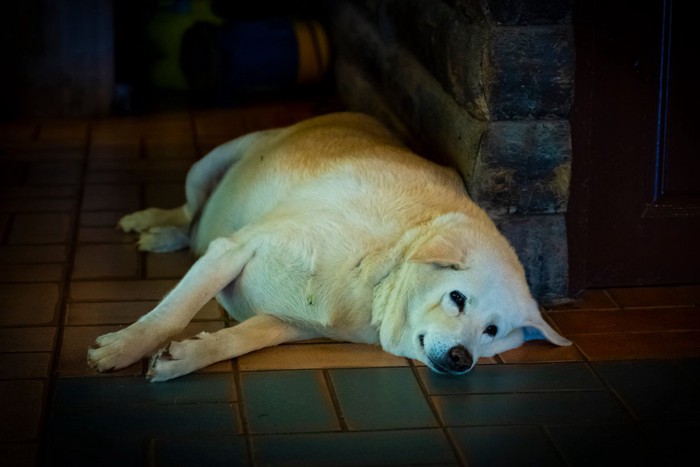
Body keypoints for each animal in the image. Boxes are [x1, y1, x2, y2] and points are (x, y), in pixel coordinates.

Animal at [86, 111, 568, 382]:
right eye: (457, 298)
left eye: (492, 331)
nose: (462, 358)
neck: (377, 271)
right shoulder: (232, 248)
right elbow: (171, 314)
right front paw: (123, 348)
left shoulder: (289, 324)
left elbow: (236, 342)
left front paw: (183, 358)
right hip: (208, 165)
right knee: (189, 215)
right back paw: (152, 224)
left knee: (192, 229)